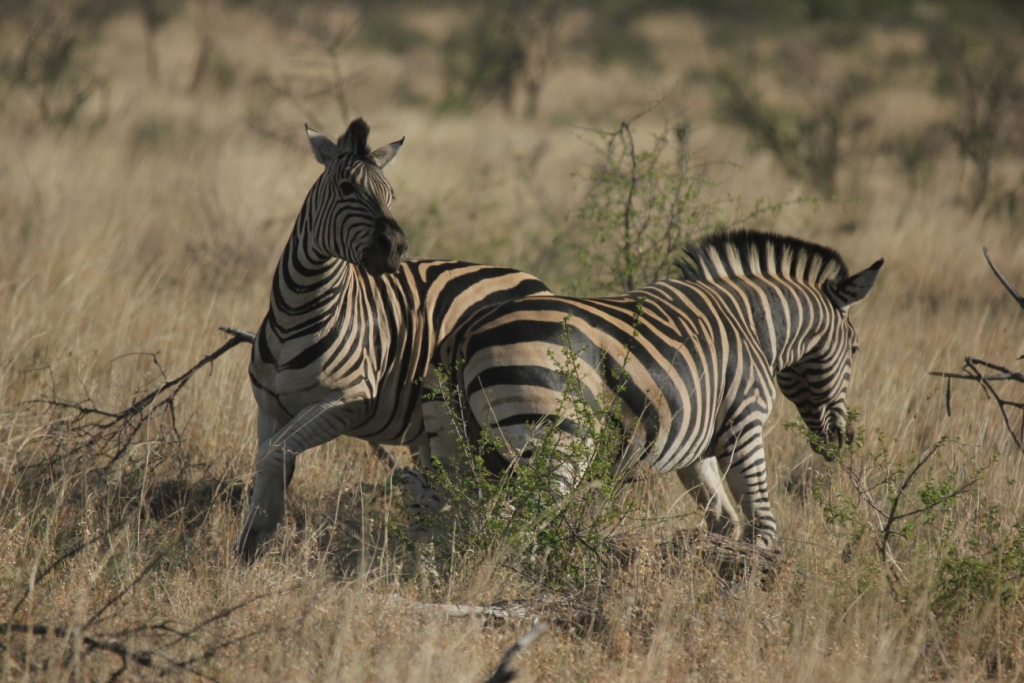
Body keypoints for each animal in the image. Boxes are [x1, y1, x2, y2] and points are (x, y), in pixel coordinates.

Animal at [237, 119, 551, 560]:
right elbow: (273, 463)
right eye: (346, 188)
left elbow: (274, 455)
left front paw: (252, 547)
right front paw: (249, 548)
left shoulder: (349, 400)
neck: (297, 314)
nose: (396, 247)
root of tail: (537, 283)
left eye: (391, 196)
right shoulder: (270, 409)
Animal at [420, 231, 882, 548]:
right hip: (555, 440)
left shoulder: (696, 446)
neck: (753, 326)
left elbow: (723, 520)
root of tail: (467, 332)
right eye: (856, 350)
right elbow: (761, 524)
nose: (841, 440)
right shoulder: (743, 423)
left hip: (453, 445)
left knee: (447, 519)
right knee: (519, 524)